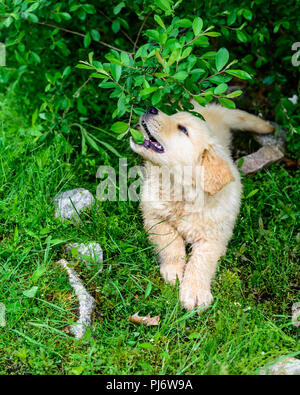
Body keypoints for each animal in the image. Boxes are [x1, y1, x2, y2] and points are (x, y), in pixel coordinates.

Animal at [130, 103, 274, 312]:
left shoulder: (215, 237)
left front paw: (195, 292)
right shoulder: (153, 216)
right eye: (173, 116)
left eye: (183, 129)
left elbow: (201, 262)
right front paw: (173, 271)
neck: (182, 193)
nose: (151, 108)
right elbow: (171, 240)